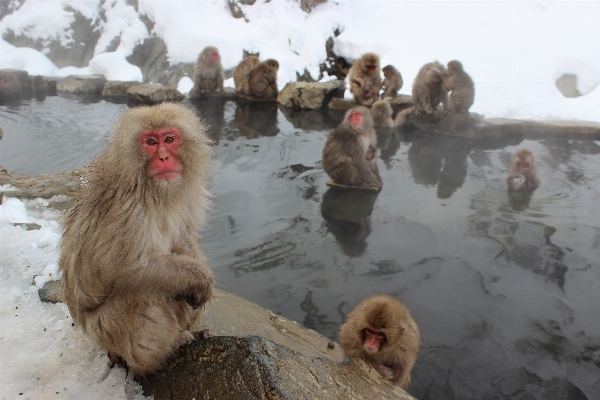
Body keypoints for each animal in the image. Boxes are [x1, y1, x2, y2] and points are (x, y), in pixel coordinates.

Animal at [59, 102, 214, 376]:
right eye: (150, 142)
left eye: (169, 139)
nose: (163, 157)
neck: (149, 188)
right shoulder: (128, 211)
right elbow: (127, 269)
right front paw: (200, 278)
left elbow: (182, 236)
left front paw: (200, 274)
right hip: (107, 330)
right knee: (142, 294)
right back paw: (167, 347)